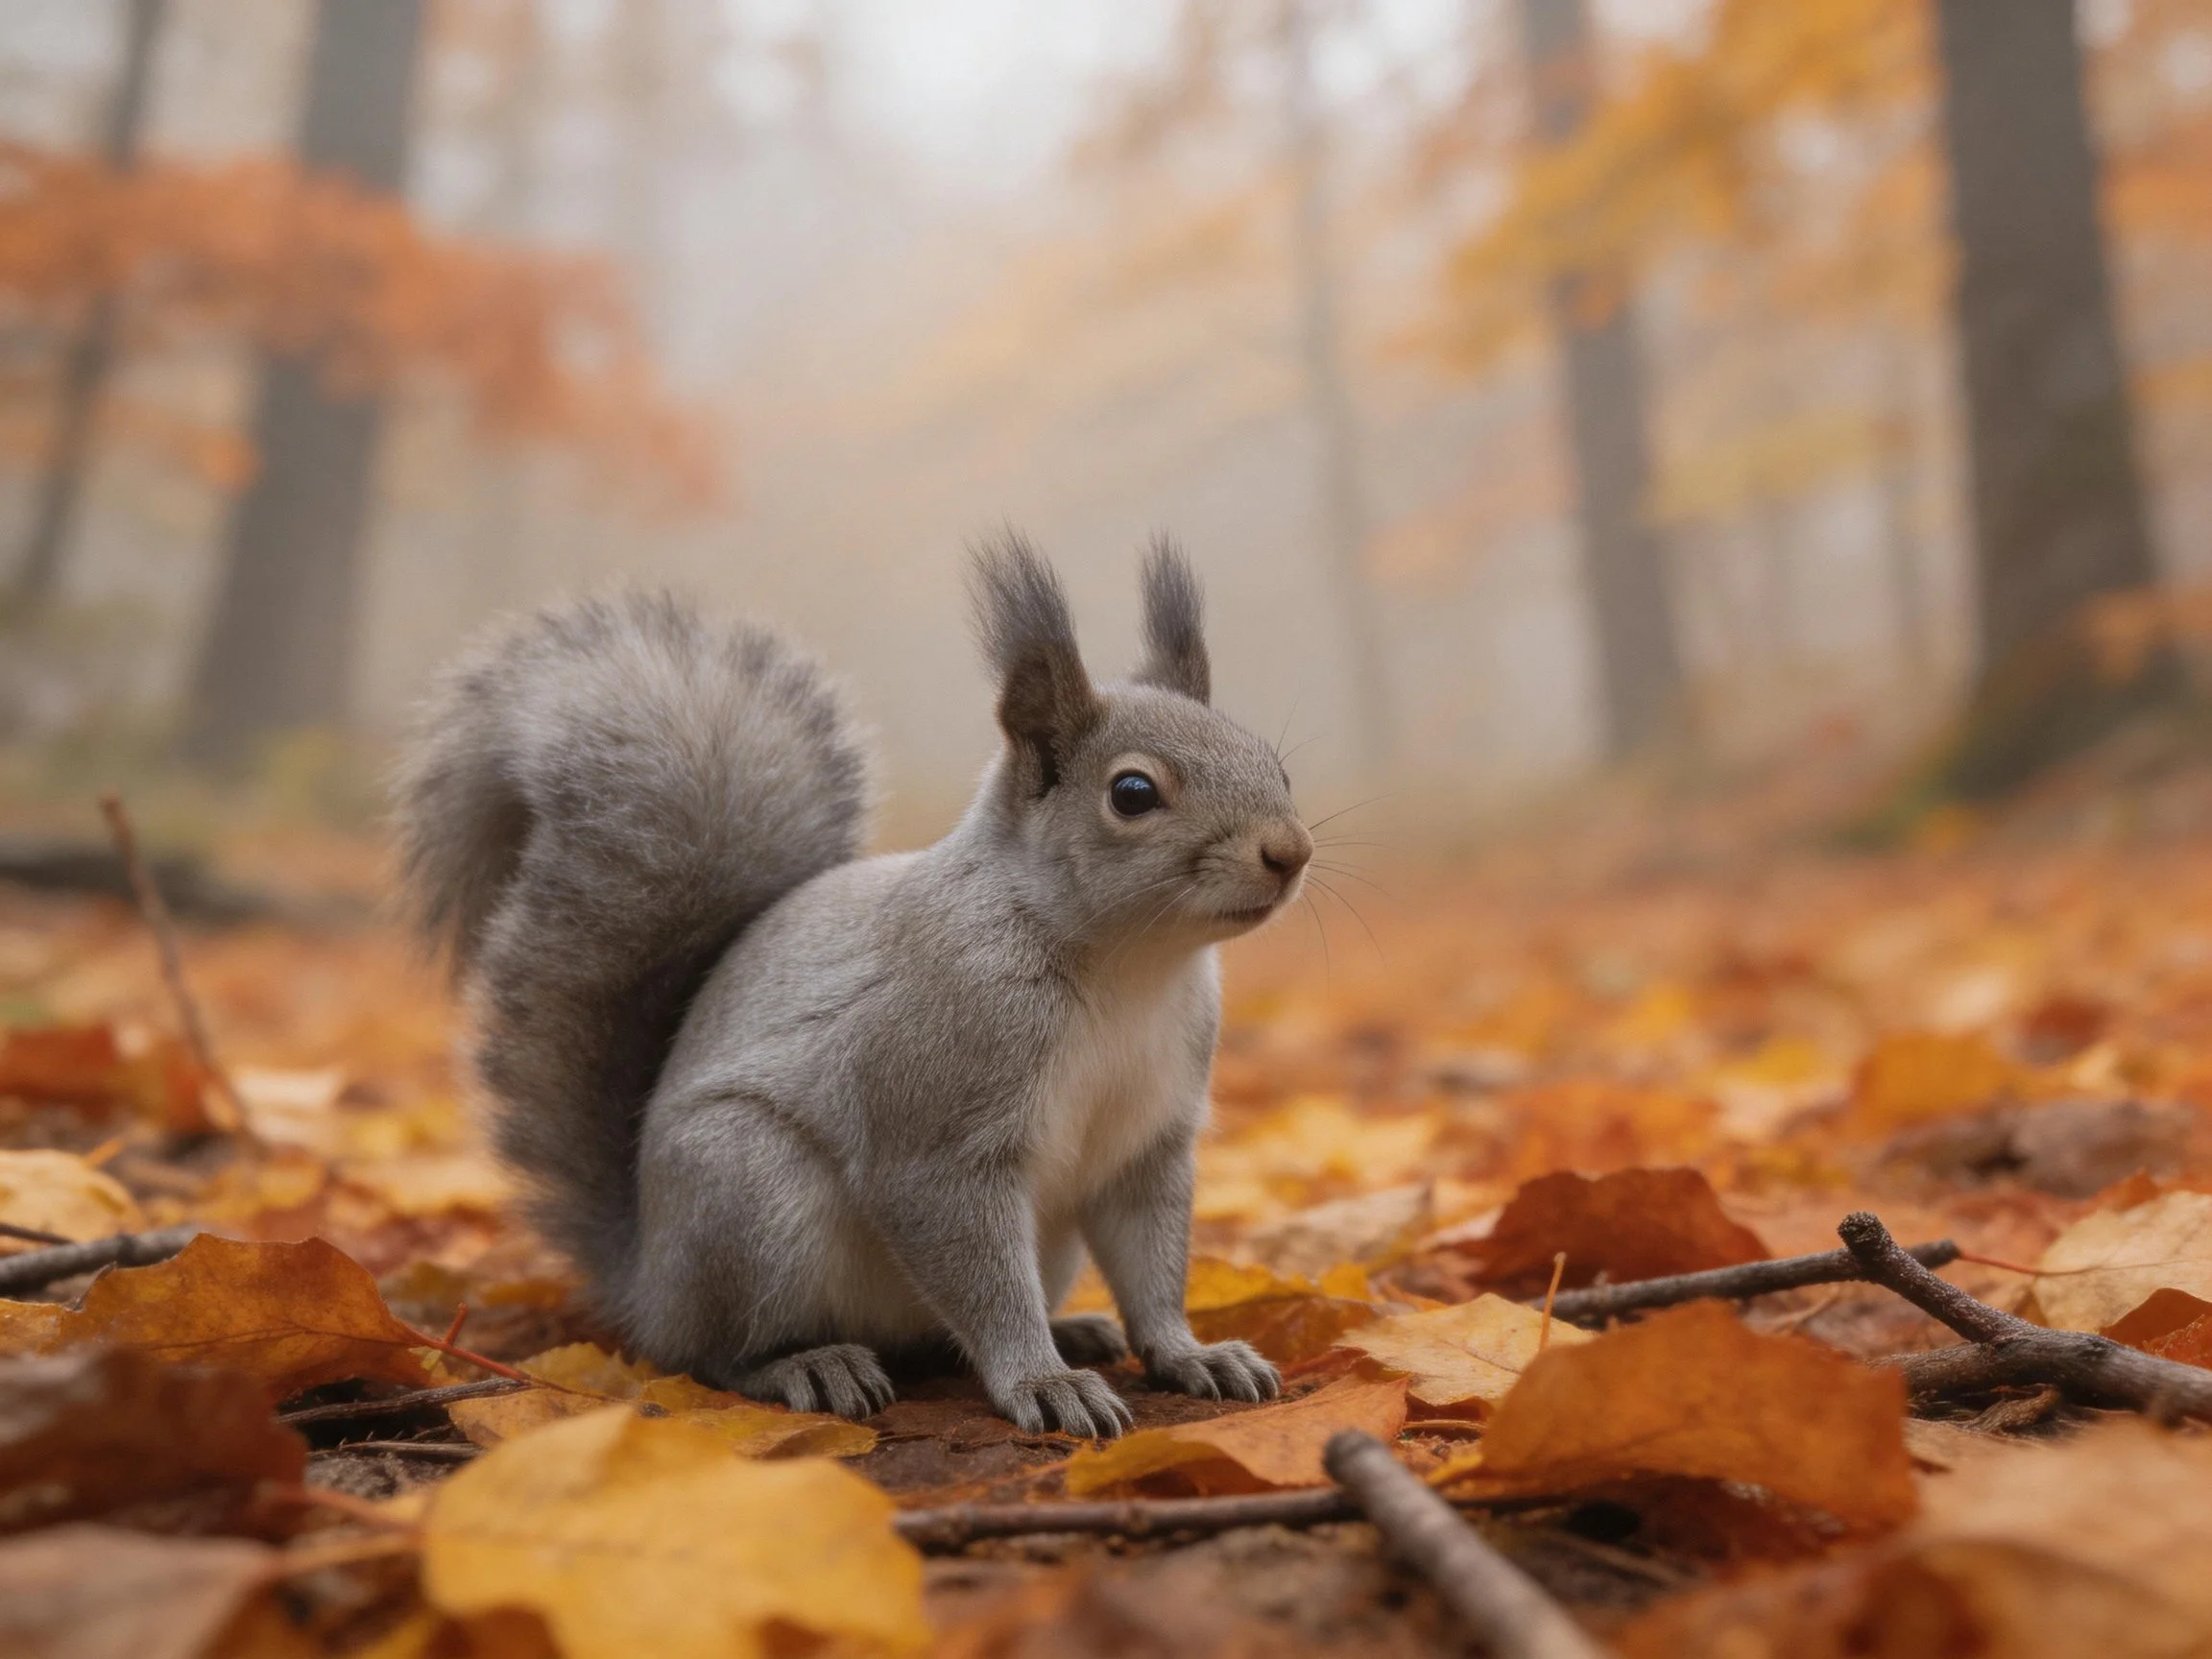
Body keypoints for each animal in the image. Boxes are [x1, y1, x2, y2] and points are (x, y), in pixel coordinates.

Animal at [393, 533, 1313, 1437]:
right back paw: (809, 1365)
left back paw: (1073, 1326)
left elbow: (1153, 1261)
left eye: (1275, 764)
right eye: (1132, 792)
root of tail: (647, 1284)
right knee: (717, 1356)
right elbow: (971, 1258)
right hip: (750, 1198)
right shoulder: (939, 1115)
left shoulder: (1149, 1139)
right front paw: (1042, 1380)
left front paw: (1189, 1354)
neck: (1133, 965)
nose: (1290, 851)